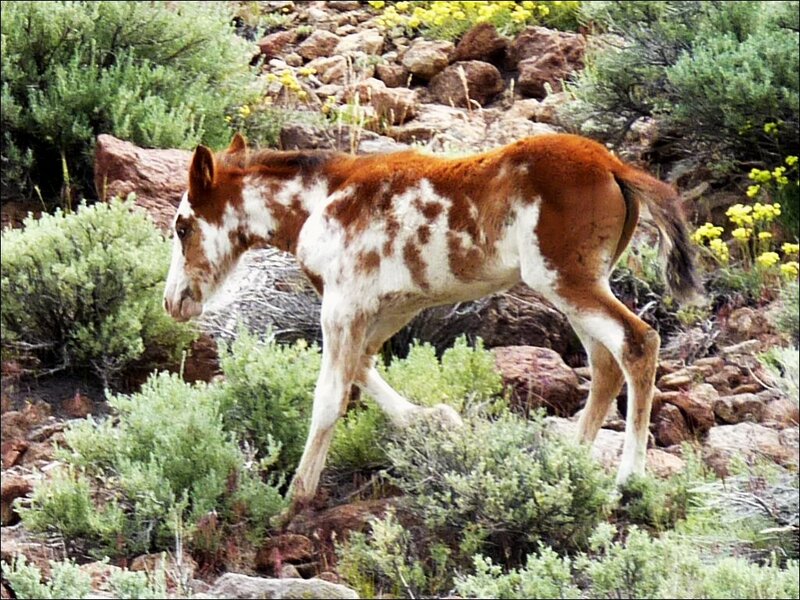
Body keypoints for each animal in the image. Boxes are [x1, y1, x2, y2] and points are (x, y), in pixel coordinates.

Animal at [163, 132, 699, 509]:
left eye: (182, 226)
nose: (174, 302)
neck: (323, 201)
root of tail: (613, 166)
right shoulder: (393, 305)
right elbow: (363, 368)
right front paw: (436, 420)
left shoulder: (343, 304)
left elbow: (331, 396)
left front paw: (295, 498)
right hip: (576, 286)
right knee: (605, 365)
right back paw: (567, 461)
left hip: (565, 280)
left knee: (637, 343)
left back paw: (629, 480)